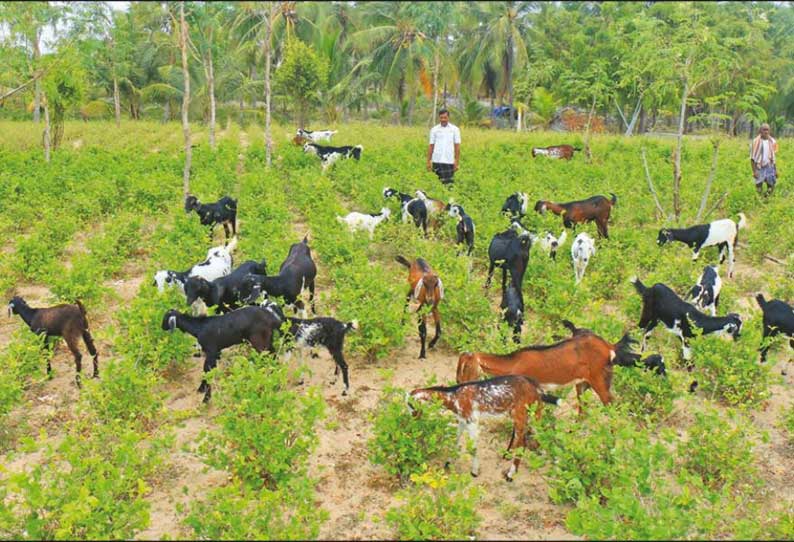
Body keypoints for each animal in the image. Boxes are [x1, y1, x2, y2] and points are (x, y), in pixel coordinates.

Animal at [406, 378, 560, 484]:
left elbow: (473, 447)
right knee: (541, 433)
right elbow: (456, 440)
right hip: (535, 413)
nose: (413, 419)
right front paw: (448, 462)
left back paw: (510, 474)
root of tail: (537, 390)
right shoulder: (462, 421)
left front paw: (474, 472)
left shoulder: (472, 421)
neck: (454, 396)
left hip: (521, 415)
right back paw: (546, 458)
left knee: (523, 442)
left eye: (410, 406)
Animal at [454, 324, 636, 416]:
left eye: (466, 368)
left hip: (600, 381)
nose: (460, 385)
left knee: (612, 406)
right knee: (583, 410)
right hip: (583, 383)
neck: (514, 363)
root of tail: (609, 348)